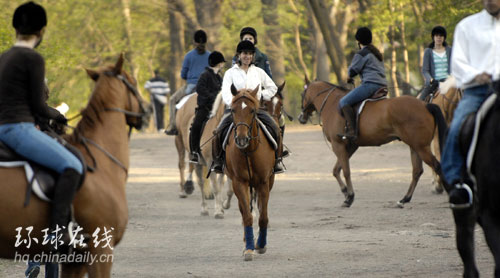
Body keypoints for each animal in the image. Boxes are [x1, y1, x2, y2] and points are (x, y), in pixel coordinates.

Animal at [224, 84, 276, 260]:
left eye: (252, 110)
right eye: (233, 110)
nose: (241, 139)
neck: (248, 151)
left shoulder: (264, 182)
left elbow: (263, 216)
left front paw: (261, 245)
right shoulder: (239, 182)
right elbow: (247, 216)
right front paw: (249, 248)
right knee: (244, 210)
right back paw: (248, 241)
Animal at [298, 79, 448, 207]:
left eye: (302, 94)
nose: (301, 118)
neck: (332, 104)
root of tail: (425, 105)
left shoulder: (338, 145)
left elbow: (346, 171)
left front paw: (349, 197)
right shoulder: (350, 146)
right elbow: (336, 170)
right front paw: (345, 192)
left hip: (421, 147)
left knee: (437, 166)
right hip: (415, 146)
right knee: (417, 171)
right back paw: (404, 199)